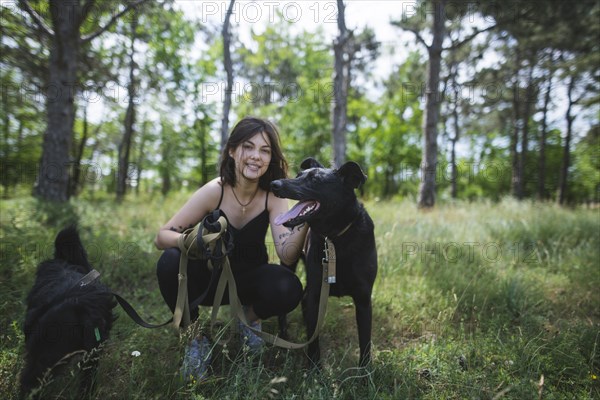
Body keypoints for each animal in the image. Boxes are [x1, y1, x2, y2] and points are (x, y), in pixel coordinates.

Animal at [270, 158, 376, 368]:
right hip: (289, 263)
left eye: (315, 180)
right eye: (298, 176)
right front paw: (314, 368)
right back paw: (284, 337)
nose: (274, 184)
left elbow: (365, 341)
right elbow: (313, 338)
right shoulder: (316, 294)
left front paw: (365, 373)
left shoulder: (363, 299)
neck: (335, 238)